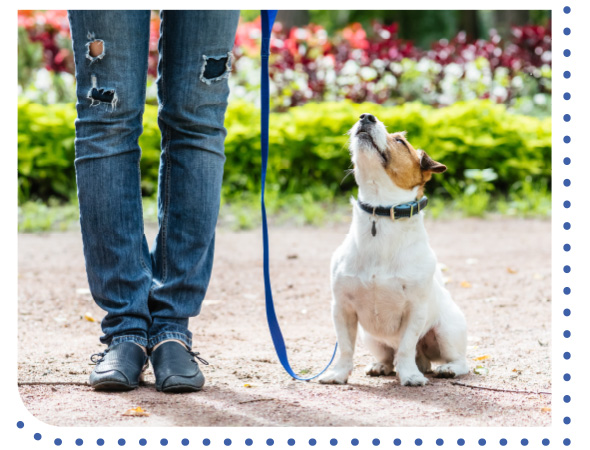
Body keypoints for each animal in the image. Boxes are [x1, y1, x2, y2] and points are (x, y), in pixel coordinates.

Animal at [322, 113, 470, 386]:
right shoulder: (342, 308)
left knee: (457, 361)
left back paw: (445, 369)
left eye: (400, 141)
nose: (366, 116)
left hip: (447, 331)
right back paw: (381, 365)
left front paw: (410, 375)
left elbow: (406, 346)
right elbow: (346, 347)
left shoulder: (415, 310)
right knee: (388, 356)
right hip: (371, 337)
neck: (380, 212)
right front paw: (338, 374)